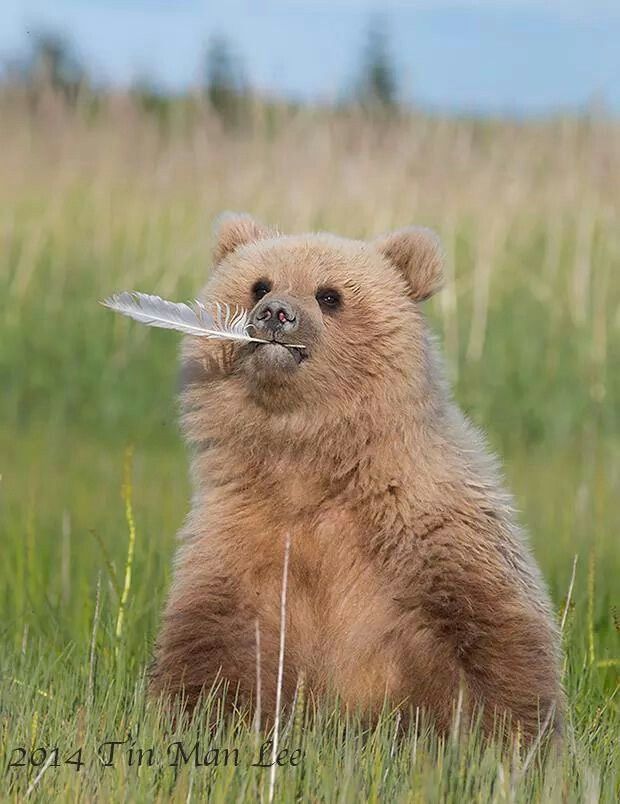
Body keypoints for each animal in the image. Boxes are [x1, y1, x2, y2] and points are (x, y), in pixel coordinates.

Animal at [149, 213, 563, 741]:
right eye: (260, 283)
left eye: (329, 295)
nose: (275, 313)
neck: (311, 460)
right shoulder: (243, 533)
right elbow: (214, 637)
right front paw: (203, 718)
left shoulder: (428, 526)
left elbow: (486, 635)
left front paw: (506, 737)